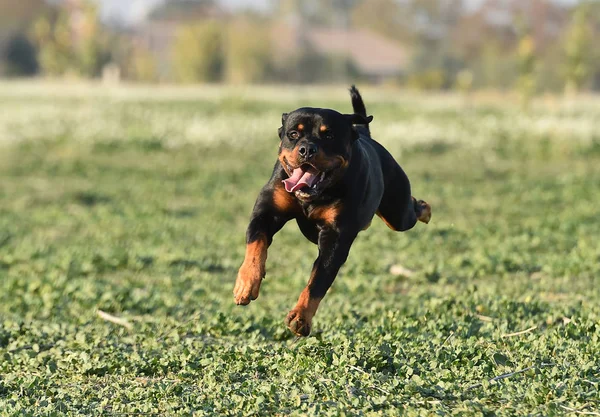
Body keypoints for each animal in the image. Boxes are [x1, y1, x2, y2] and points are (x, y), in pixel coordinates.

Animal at [231, 86, 432, 336]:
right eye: (293, 134)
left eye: (329, 136)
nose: (307, 149)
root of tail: (364, 133)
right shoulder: (266, 214)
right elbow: (255, 246)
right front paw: (246, 284)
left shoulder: (335, 238)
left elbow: (318, 281)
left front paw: (300, 317)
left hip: (397, 213)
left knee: (411, 210)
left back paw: (425, 209)